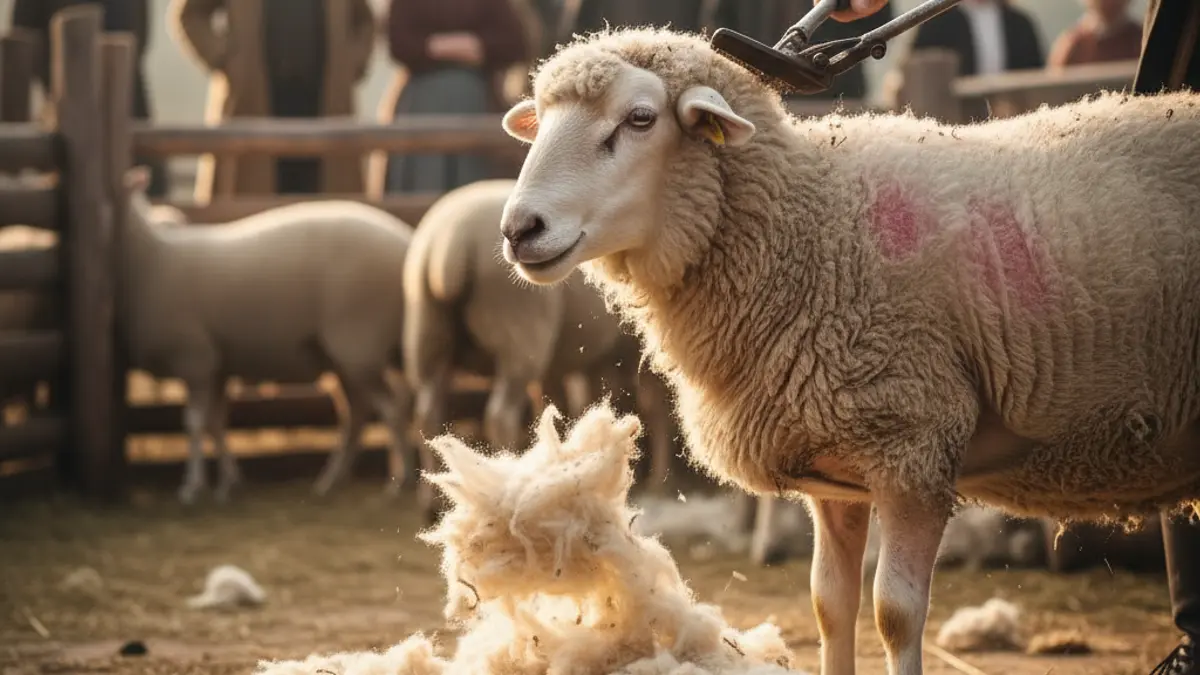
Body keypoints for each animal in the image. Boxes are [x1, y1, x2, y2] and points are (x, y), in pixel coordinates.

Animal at [121, 167, 416, 505]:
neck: (152, 257)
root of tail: (408, 242)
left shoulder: (194, 359)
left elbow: (195, 424)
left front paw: (192, 487)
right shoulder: (216, 365)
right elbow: (215, 423)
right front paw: (228, 483)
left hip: (360, 341)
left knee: (391, 410)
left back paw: (400, 481)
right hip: (348, 356)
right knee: (359, 412)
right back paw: (331, 481)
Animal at [402, 178, 675, 522]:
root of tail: (449, 244)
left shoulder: (580, 360)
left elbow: (568, 404)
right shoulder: (634, 351)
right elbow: (649, 407)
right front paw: (658, 478)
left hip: (427, 335)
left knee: (427, 414)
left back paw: (432, 503)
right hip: (518, 334)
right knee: (500, 416)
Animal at [493, 26, 1200, 675]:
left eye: (639, 119)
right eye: (541, 122)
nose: (518, 229)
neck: (809, 227)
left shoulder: (915, 444)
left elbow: (895, 613)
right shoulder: (833, 465)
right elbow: (829, 605)